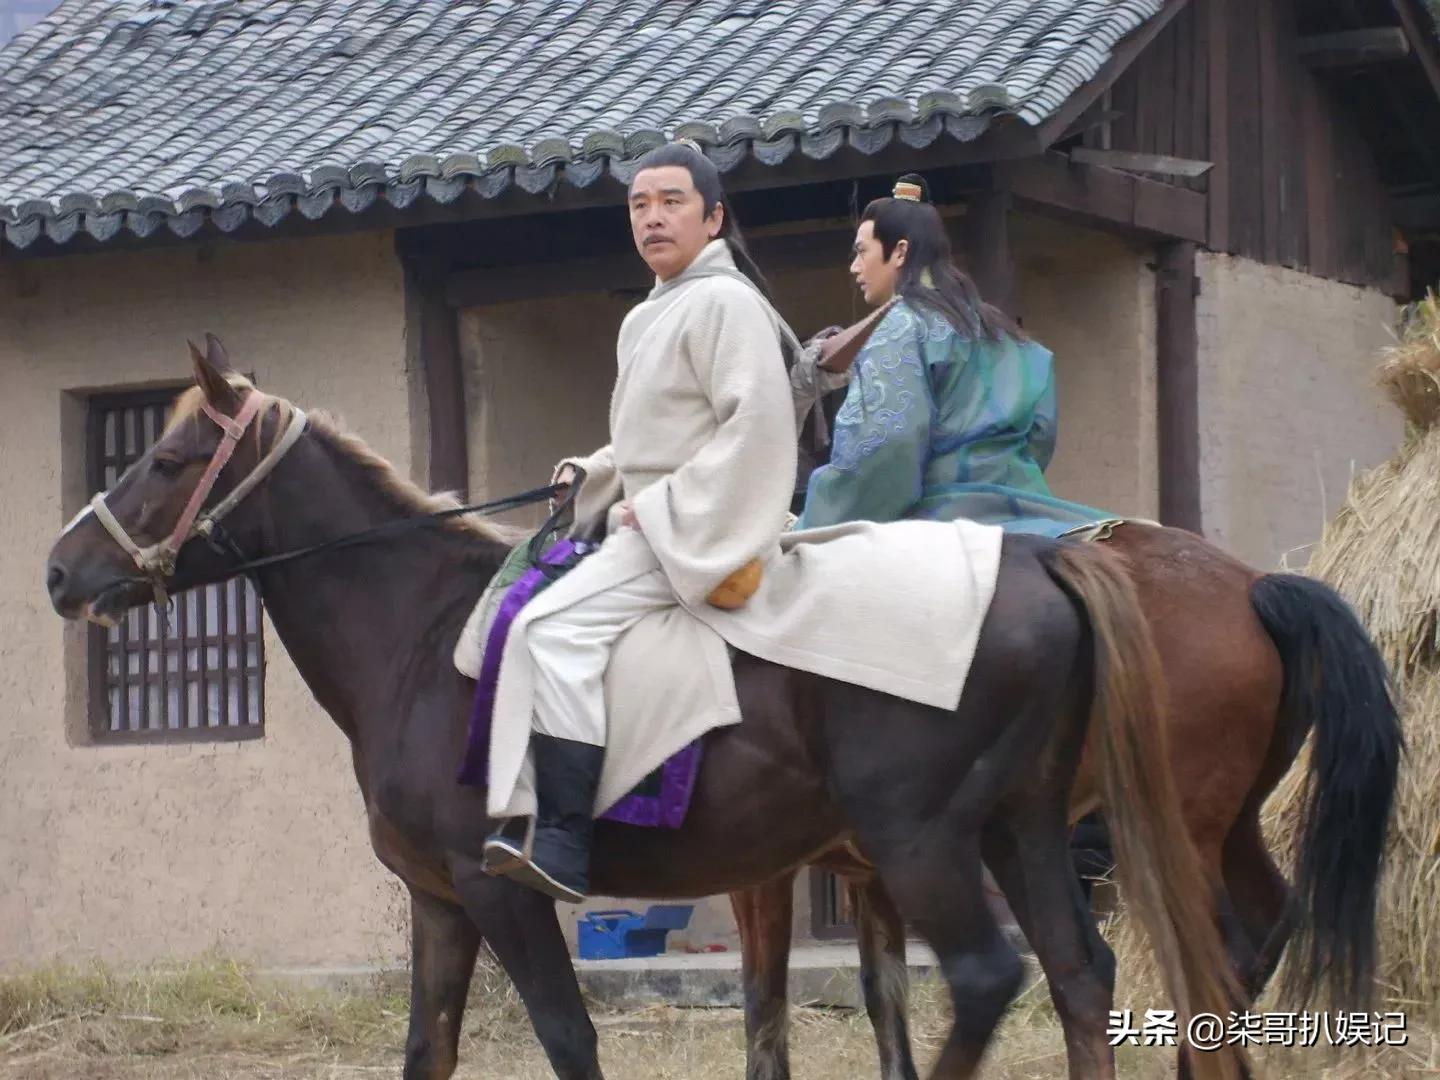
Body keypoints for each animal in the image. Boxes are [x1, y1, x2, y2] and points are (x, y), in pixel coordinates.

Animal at [47, 342, 1272, 1077]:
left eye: (169, 459)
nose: (62, 572)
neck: (417, 633)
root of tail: (1041, 562)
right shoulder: (441, 904)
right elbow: (427, 1052)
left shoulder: (501, 890)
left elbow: (568, 1037)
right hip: (1019, 829)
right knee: (1078, 978)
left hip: (924, 838)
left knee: (989, 978)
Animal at [725, 521, 1399, 1077]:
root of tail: (1254, 586)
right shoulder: (872, 873)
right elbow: (880, 997)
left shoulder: (769, 874)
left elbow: (765, 1000)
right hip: (1230, 823)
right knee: (1267, 918)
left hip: (1181, 831)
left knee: (1216, 952)